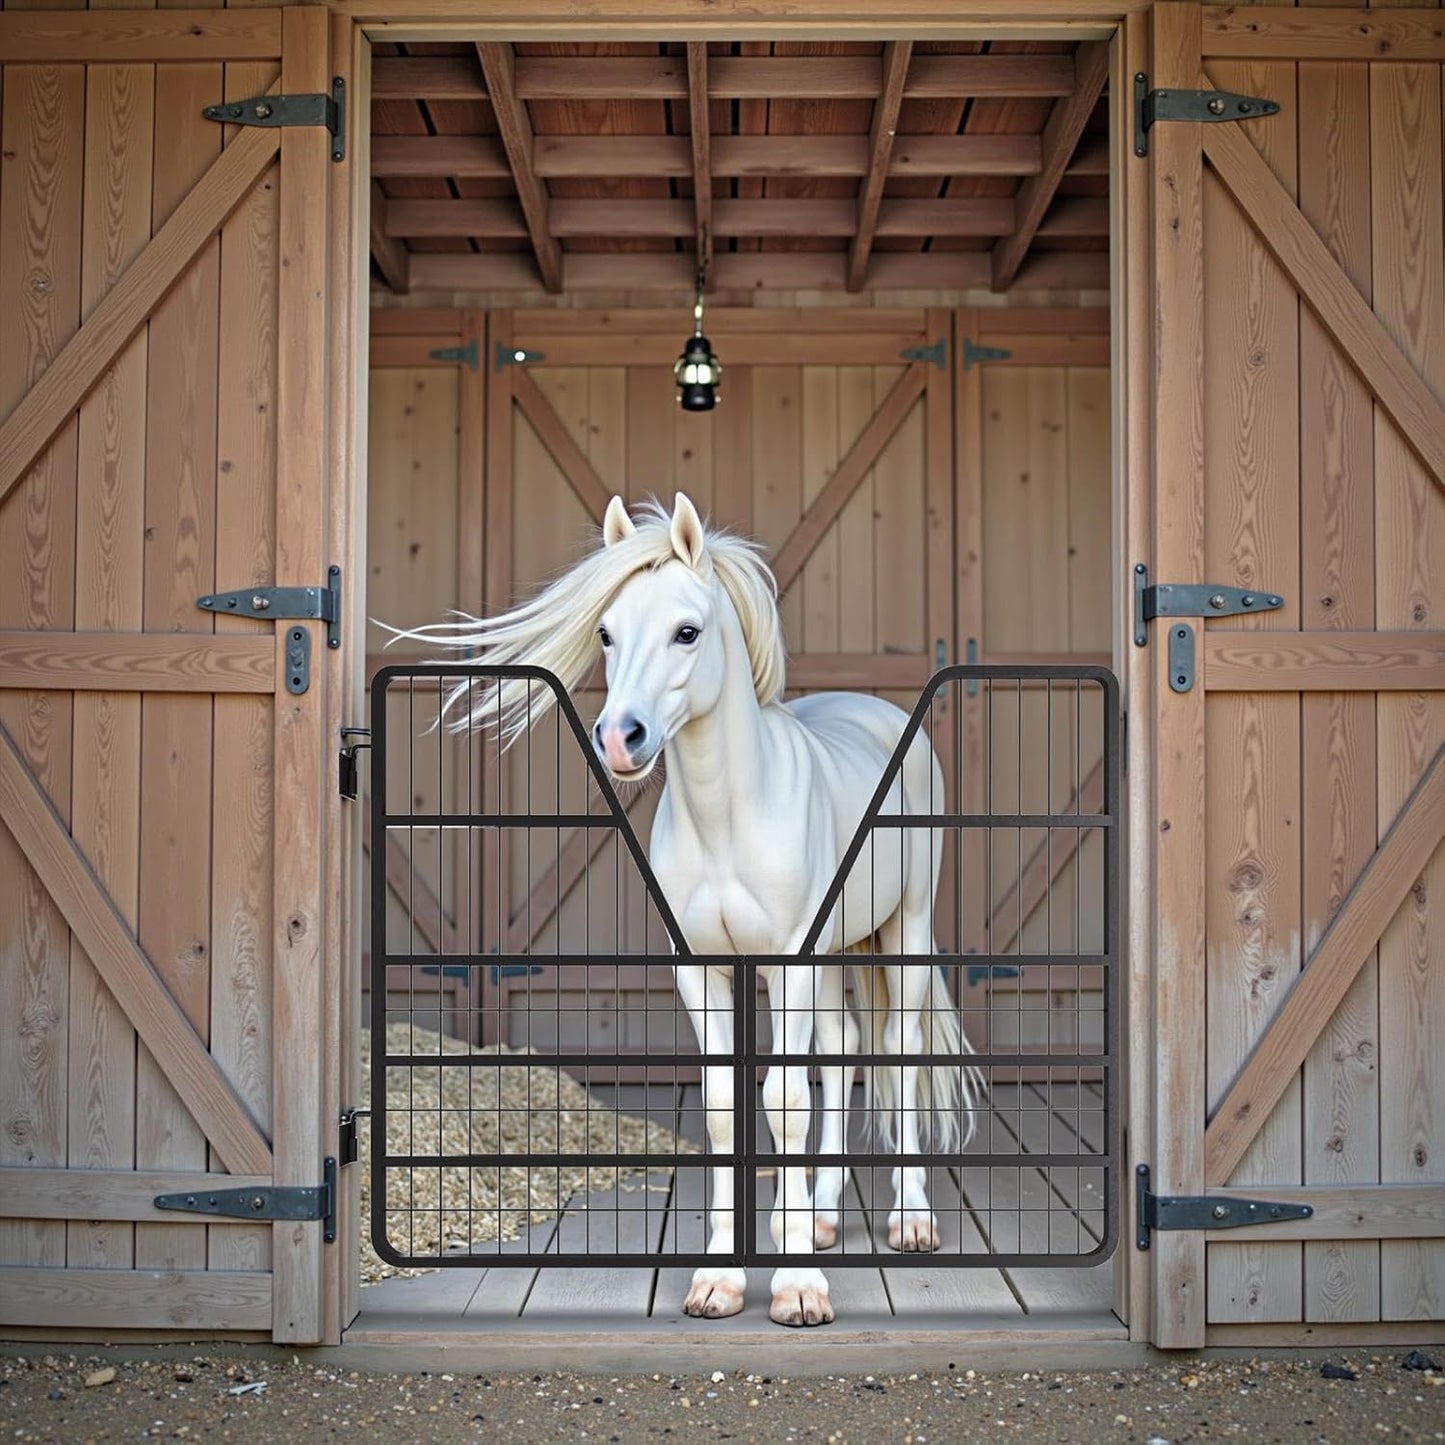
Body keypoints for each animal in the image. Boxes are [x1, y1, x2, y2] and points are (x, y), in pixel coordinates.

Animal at [391, 492, 983, 1327]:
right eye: (606, 632)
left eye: (687, 631)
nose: (619, 737)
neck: (730, 813)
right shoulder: (703, 971)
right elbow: (726, 1105)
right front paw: (723, 1275)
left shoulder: (788, 962)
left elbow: (782, 1101)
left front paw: (797, 1286)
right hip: (836, 954)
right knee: (841, 1051)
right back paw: (821, 1213)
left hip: (903, 933)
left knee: (899, 1047)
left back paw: (910, 1219)